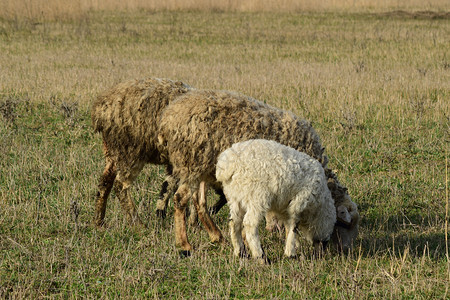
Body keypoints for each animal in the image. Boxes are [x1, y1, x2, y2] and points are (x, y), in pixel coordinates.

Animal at [156, 88, 358, 251]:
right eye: (344, 225)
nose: (346, 250)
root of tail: (168, 117)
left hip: (200, 168)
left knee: (199, 202)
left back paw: (217, 237)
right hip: (191, 164)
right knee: (180, 199)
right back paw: (185, 244)